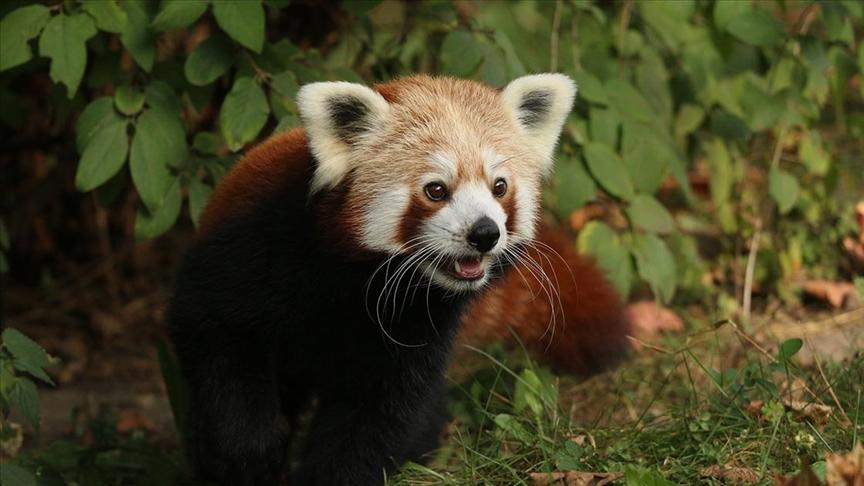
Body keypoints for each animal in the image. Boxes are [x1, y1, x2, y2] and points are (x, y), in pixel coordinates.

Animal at [169, 74, 628, 484]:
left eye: (499, 187)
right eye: (436, 190)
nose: (485, 233)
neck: (358, 279)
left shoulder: (415, 325)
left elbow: (377, 414)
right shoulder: (256, 246)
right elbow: (216, 337)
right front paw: (251, 448)